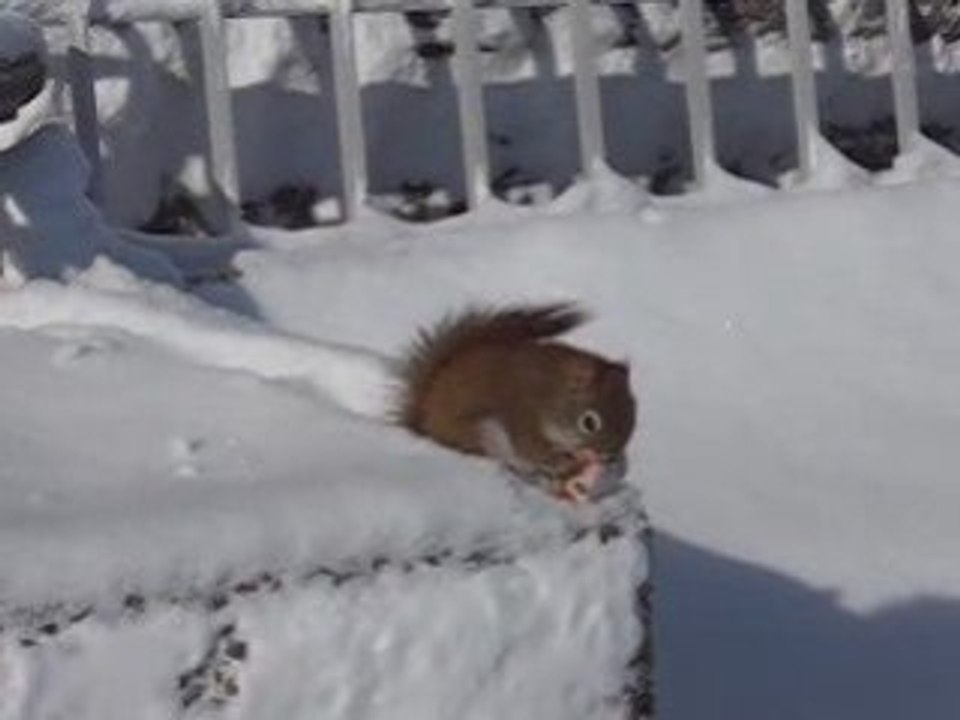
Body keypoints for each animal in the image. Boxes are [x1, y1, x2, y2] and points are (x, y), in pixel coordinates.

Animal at [393, 302, 636, 502]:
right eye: (589, 422)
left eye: (632, 418)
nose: (608, 456)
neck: (550, 392)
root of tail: (424, 425)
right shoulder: (522, 416)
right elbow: (533, 449)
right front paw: (563, 461)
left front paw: (618, 465)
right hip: (481, 434)